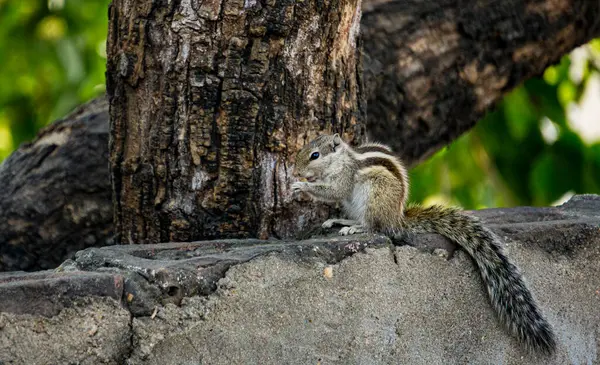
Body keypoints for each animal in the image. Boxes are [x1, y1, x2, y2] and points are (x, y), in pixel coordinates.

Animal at [290, 133, 556, 352]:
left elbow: (333, 191)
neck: (341, 161)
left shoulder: (344, 178)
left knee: (376, 226)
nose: (296, 170)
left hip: (374, 197)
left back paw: (356, 227)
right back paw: (339, 220)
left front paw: (301, 185)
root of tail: (397, 219)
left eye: (315, 155)